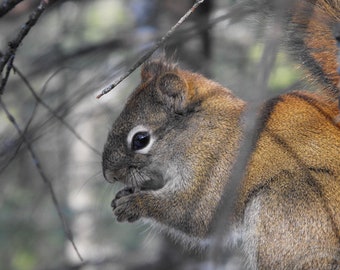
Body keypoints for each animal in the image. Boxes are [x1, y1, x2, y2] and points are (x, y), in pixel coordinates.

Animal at [101, 0, 340, 268]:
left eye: (140, 140)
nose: (109, 176)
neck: (201, 131)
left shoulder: (218, 165)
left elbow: (196, 212)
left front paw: (134, 203)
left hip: (290, 208)